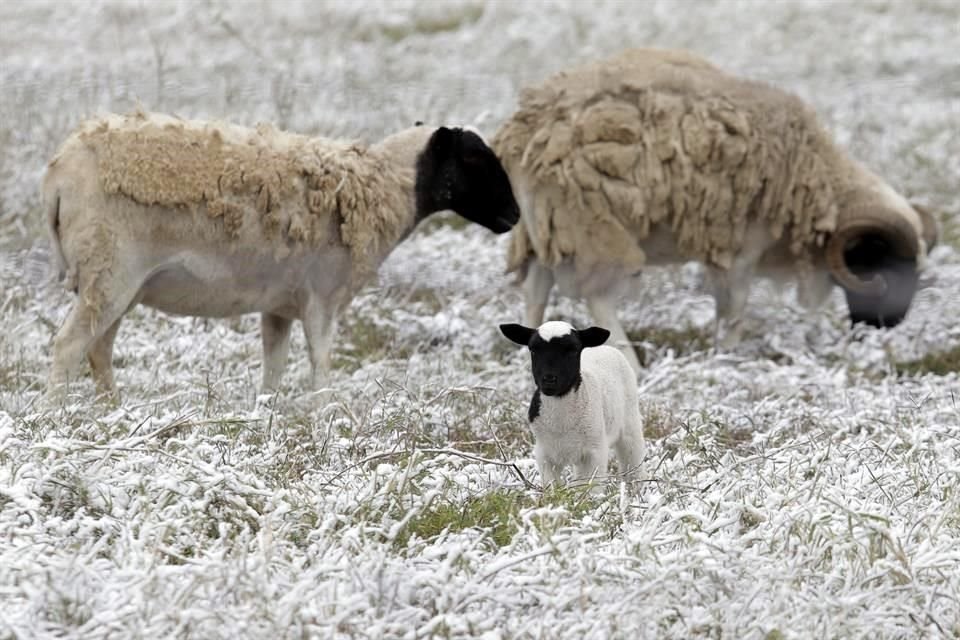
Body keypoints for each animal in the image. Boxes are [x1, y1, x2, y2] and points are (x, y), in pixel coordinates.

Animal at [43, 112, 524, 398]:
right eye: (473, 158)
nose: (515, 215)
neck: (383, 185)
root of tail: (58, 175)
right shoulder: (323, 297)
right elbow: (321, 364)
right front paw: (324, 419)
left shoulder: (278, 305)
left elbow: (273, 368)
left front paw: (268, 414)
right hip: (111, 271)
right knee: (68, 347)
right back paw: (57, 417)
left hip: (114, 282)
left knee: (98, 349)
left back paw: (113, 410)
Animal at [492, 48, 940, 370]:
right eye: (882, 265)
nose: (888, 325)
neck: (815, 178)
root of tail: (525, 132)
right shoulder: (741, 249)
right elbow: (735, 308)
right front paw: (727, 355)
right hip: (595, 227)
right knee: (597, 297)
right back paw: (630, 363)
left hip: (543, 227)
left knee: (536, 288)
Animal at [496, 318, 644, 488]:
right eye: (533, 350)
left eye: (573, 350)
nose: (549, 379)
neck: (561, 424)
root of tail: (606, 347)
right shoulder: (544, 454)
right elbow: (553, 487)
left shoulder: (595, 452)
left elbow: (589, 488)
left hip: (630, 423)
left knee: (632, 459)